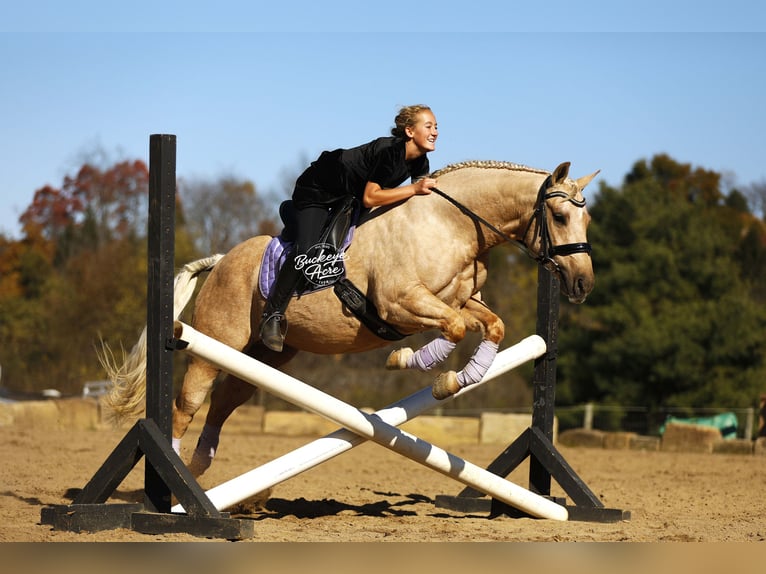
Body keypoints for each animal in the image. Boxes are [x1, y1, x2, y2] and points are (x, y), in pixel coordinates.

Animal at [101, 160, 598, 478]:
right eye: (558, 216)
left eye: (587, 219)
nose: (582, 285)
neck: (452, 224)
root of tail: (222, 260)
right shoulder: (402, 303)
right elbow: (452, 329)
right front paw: (414, 364)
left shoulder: (461, 300)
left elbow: (490, 326)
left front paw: (457, 378)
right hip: (212, 344)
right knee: (187, 404)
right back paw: (175, 482)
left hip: (265, 357)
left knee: (225, 400)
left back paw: (200, 465)